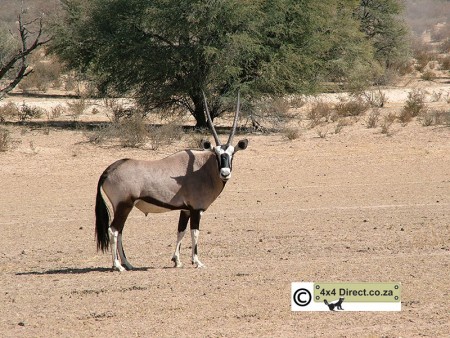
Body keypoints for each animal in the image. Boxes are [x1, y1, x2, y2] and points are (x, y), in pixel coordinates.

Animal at [95, 93, 248, 272]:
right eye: (216, 154)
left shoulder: (186, 210)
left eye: (232, 154)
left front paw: (177, 260)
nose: (225, 173)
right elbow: (195, 232)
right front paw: (197, 262)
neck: (201, 169)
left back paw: (129, 264)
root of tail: (109, 170)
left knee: (120, 231)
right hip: (124, 205)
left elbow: (180, 231)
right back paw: (118, 265)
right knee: (113, 230)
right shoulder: (196, 209)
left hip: (122, 207)